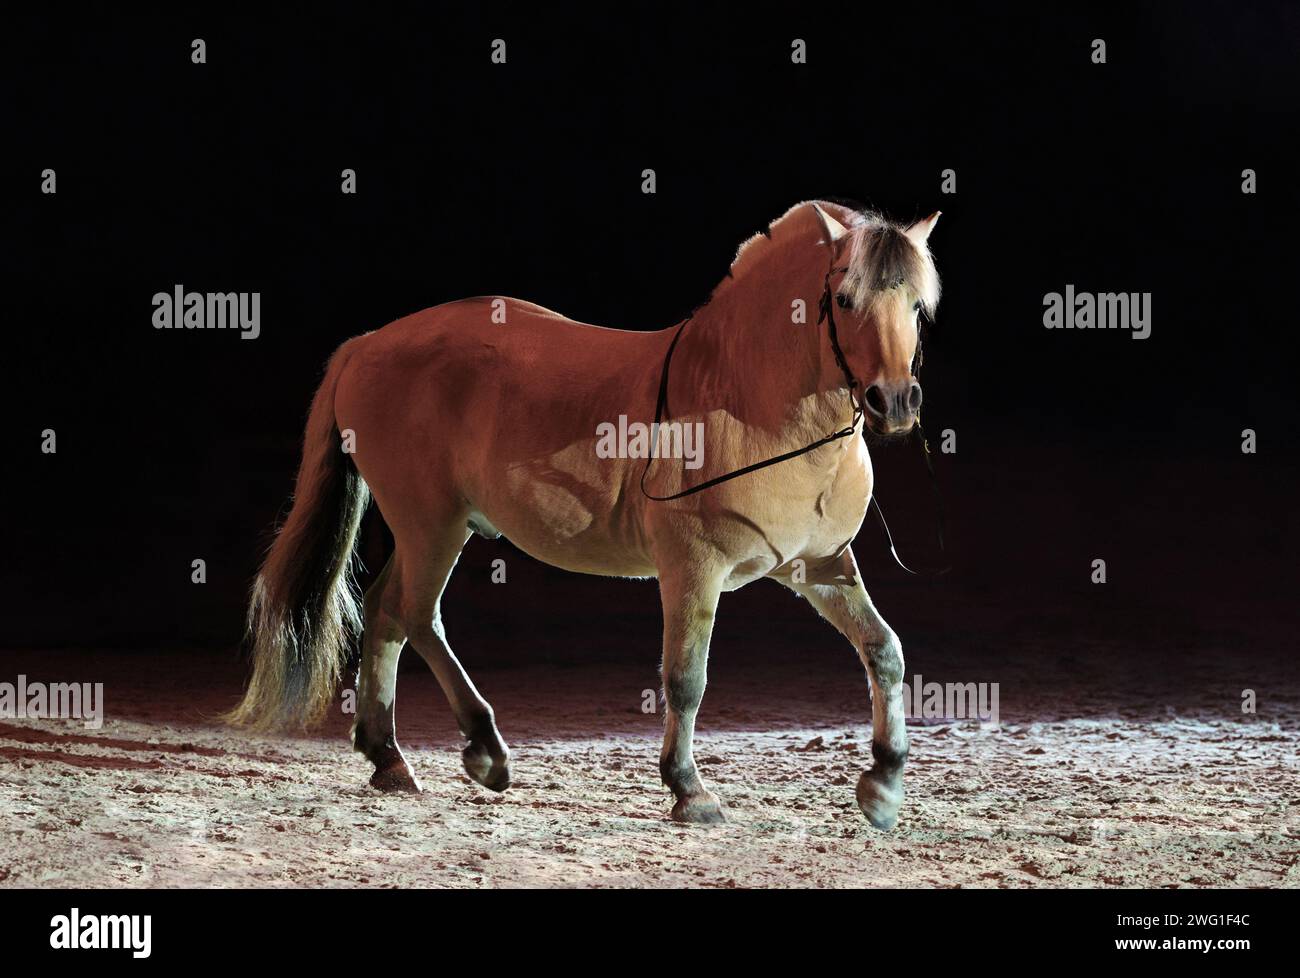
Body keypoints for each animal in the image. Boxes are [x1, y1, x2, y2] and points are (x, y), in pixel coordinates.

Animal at [228, 202, 941, 827]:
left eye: (915, 304)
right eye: (844, 300)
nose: (895, 401)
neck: (746, 400)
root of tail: (369, 343)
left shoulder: (819, 568)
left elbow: (885, 652)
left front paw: (883, 787)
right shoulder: (693, 571)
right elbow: (685, 679)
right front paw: (690, 792)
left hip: (428, 528)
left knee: (386, 612)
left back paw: (389, 758)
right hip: (433, 526)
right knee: (414, 614)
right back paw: (483, 750)